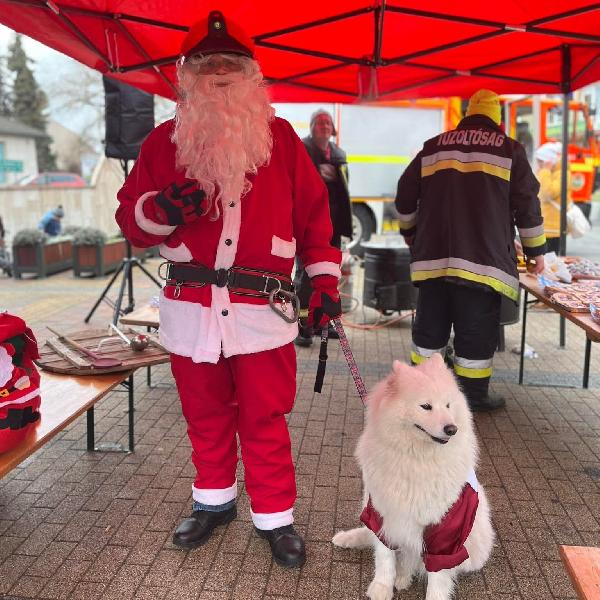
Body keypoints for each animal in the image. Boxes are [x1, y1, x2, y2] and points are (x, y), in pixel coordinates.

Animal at [332, 354, 492, 600]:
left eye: (448, 405)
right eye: (426, 406)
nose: (452, 429)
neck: (416, 459)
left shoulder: (446, 533)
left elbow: (438, 578)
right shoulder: (382, 514)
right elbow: (384, 558)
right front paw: (381, 588)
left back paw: (404, 575)